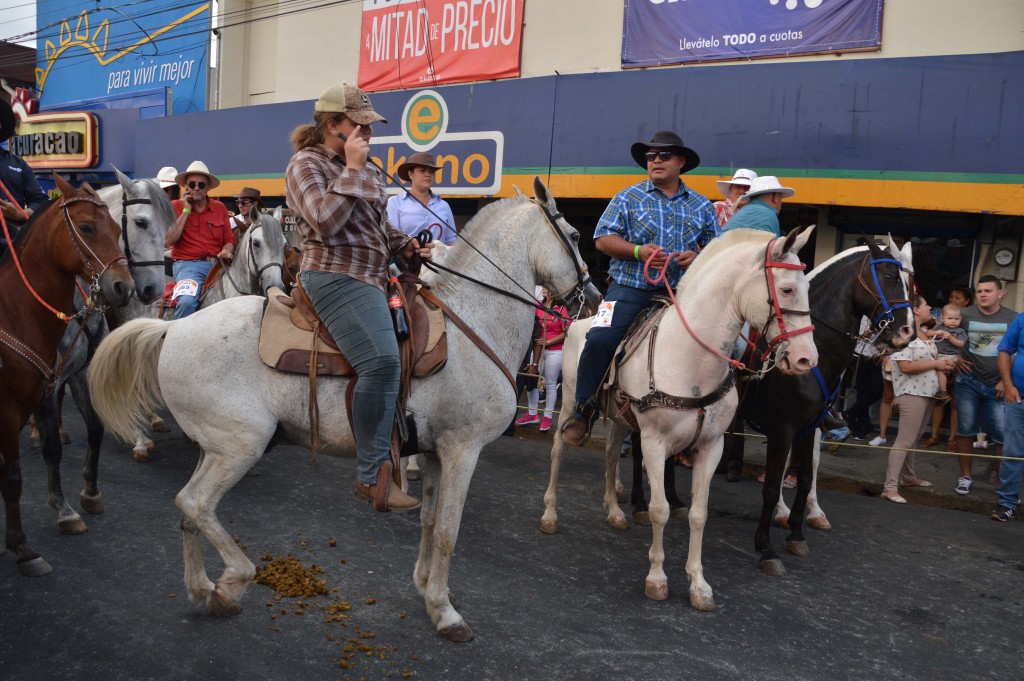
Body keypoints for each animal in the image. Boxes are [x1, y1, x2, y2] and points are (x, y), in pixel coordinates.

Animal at [0, 174, 134, 573]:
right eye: (87, 228)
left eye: (116, 230)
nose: (124, 287)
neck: (14, 313)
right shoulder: (13, 406)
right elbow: (20, 471)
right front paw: (25, 546)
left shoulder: (63, 381)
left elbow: (91, 431)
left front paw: (87, 494)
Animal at [90, 178, 598, 639]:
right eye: (575, 236)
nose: (592, 300)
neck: (473, 323)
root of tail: (173, 330)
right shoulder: (462, 449)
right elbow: (449, 532)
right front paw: (446, 612)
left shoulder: (435, 452)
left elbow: (430, 521)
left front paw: (426, 589)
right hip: (240, 446)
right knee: (194, 503)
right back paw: (233, 580)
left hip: (215, 446)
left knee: (191, 511)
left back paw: (201, 589)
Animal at [544, 225, 815, 606]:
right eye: (788, 289)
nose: (807, 359)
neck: (691, 359)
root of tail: (579, 321)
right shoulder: (655, 443)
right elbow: (660, 510)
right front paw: (657, 579)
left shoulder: (711, 447)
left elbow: (699, 515)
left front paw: (698, 584)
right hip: (569, 403)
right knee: (558, 451)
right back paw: (549, 514)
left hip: (620, 418)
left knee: (611, 454)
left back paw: (614, 511)